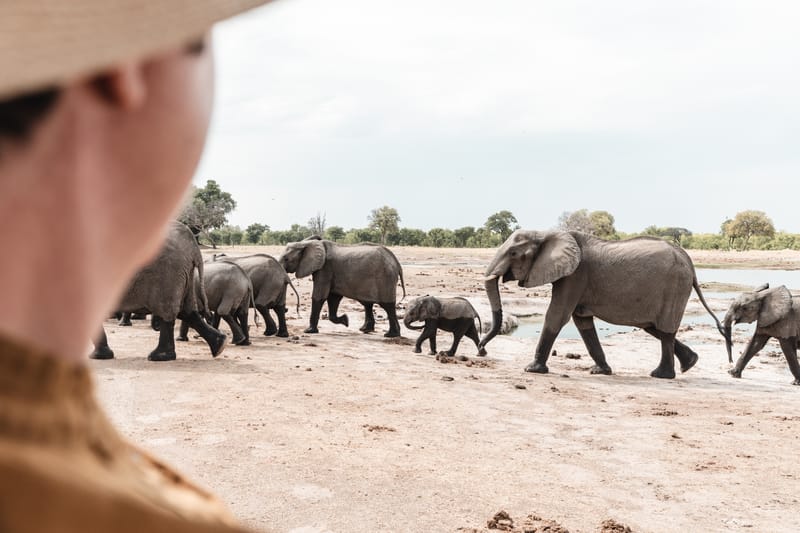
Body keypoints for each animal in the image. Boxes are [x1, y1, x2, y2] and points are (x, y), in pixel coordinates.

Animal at [91, 221, 227, 361]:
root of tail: (193, 247)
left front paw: (99, 357)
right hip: (185, 274)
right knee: (187, 311)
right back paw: (220, 345)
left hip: (168, 273)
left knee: (170, 311)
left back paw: (159, 356)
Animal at [480, 230, 723, 378]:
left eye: (513, 253)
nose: (482, 350)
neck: (545, 233)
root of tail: (689, 262)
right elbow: (582, 322)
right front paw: (600, 371)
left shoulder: (575, 276)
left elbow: (557, 315)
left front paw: (532, 370)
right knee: (654, 327)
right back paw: (689, 363)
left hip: (675, 287)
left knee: (664, 329)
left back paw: (661, 375)